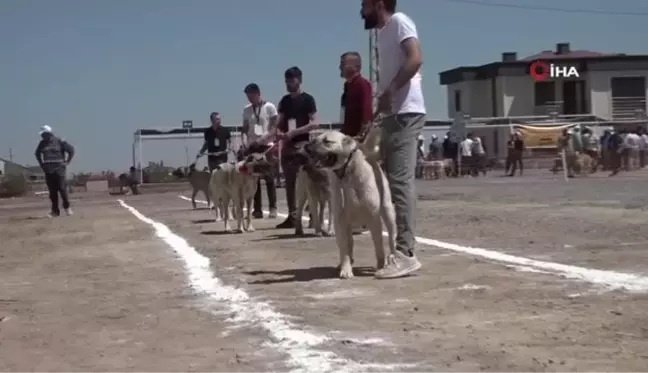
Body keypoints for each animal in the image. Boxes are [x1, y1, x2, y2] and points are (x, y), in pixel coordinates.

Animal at [306, 129, 400, 278]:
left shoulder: (374, 219)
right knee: (348, 245)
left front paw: (380, 266)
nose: (306, 147)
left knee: (391, 239)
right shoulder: (340, 221)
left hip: (388, 213)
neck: (347, 174)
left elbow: (378, 246)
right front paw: (346, 269)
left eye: (327, 141)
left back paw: (392, 257)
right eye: (314, 140)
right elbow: (344, 249)